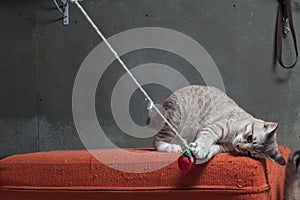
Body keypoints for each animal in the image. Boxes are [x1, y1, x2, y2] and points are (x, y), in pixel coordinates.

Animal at [151, 85, 284, 165]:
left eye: (249, 153)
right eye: (250, 138)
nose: (238, 146)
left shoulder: (223, 146)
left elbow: (214, 148)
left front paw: (204, 154)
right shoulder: (213, 128)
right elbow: (206, 139)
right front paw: (201, 149)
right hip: (174, 121)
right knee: (157, 142)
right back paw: (171, 147)